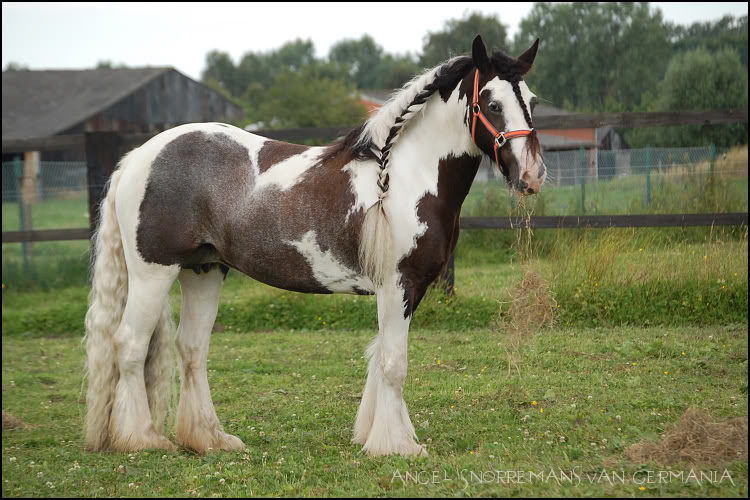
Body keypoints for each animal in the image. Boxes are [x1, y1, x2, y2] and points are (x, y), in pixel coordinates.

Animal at [85, 34, 548, 458]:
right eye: (491, 103)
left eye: (532, 101)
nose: (533, 174)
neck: (404, 178)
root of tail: (138, 157)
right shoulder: (397, 285)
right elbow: (394, 364)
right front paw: (397, 446)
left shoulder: (407, 289)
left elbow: (380, 358)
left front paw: (375, 435)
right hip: (153, 272)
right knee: (130, 345)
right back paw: (142, 439)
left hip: (204, 271)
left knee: (192, 349)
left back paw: (210, 438)